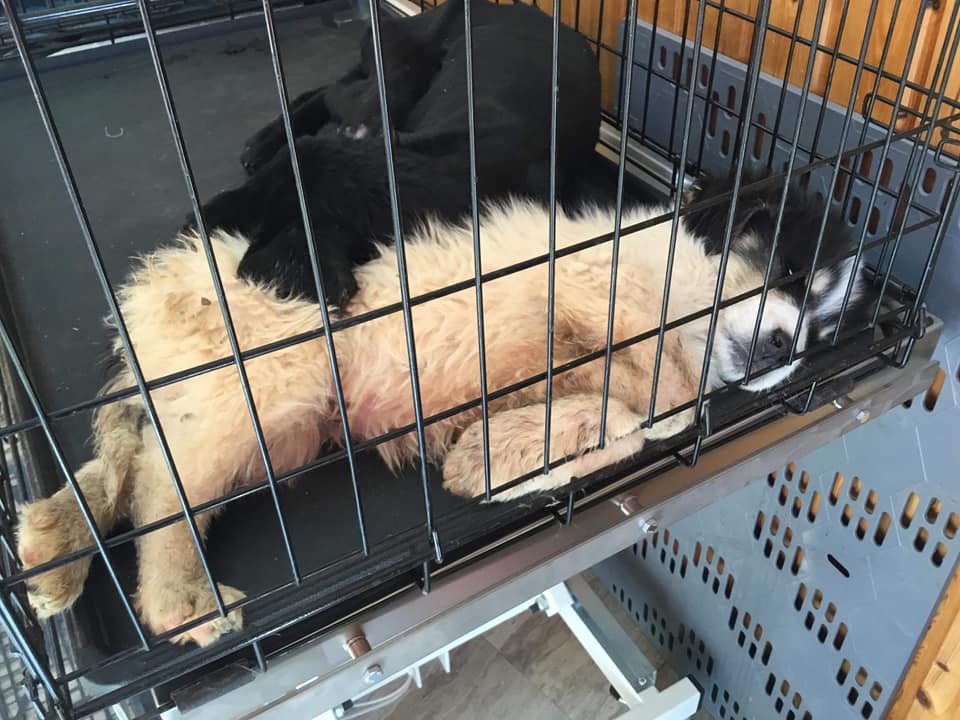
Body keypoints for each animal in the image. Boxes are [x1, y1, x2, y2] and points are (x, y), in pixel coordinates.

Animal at [16, 177, 868, 647]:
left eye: (827, 333)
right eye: (790, 271)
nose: (789, 349)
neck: (676, 308)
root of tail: (159, 286)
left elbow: (646, 419)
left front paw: (496, 457)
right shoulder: (577, 289)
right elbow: (648, 398)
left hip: (271, 426)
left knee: (130, 464)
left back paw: (55, 541)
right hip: (273, 375)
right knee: (160, 488)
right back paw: (176, 600)